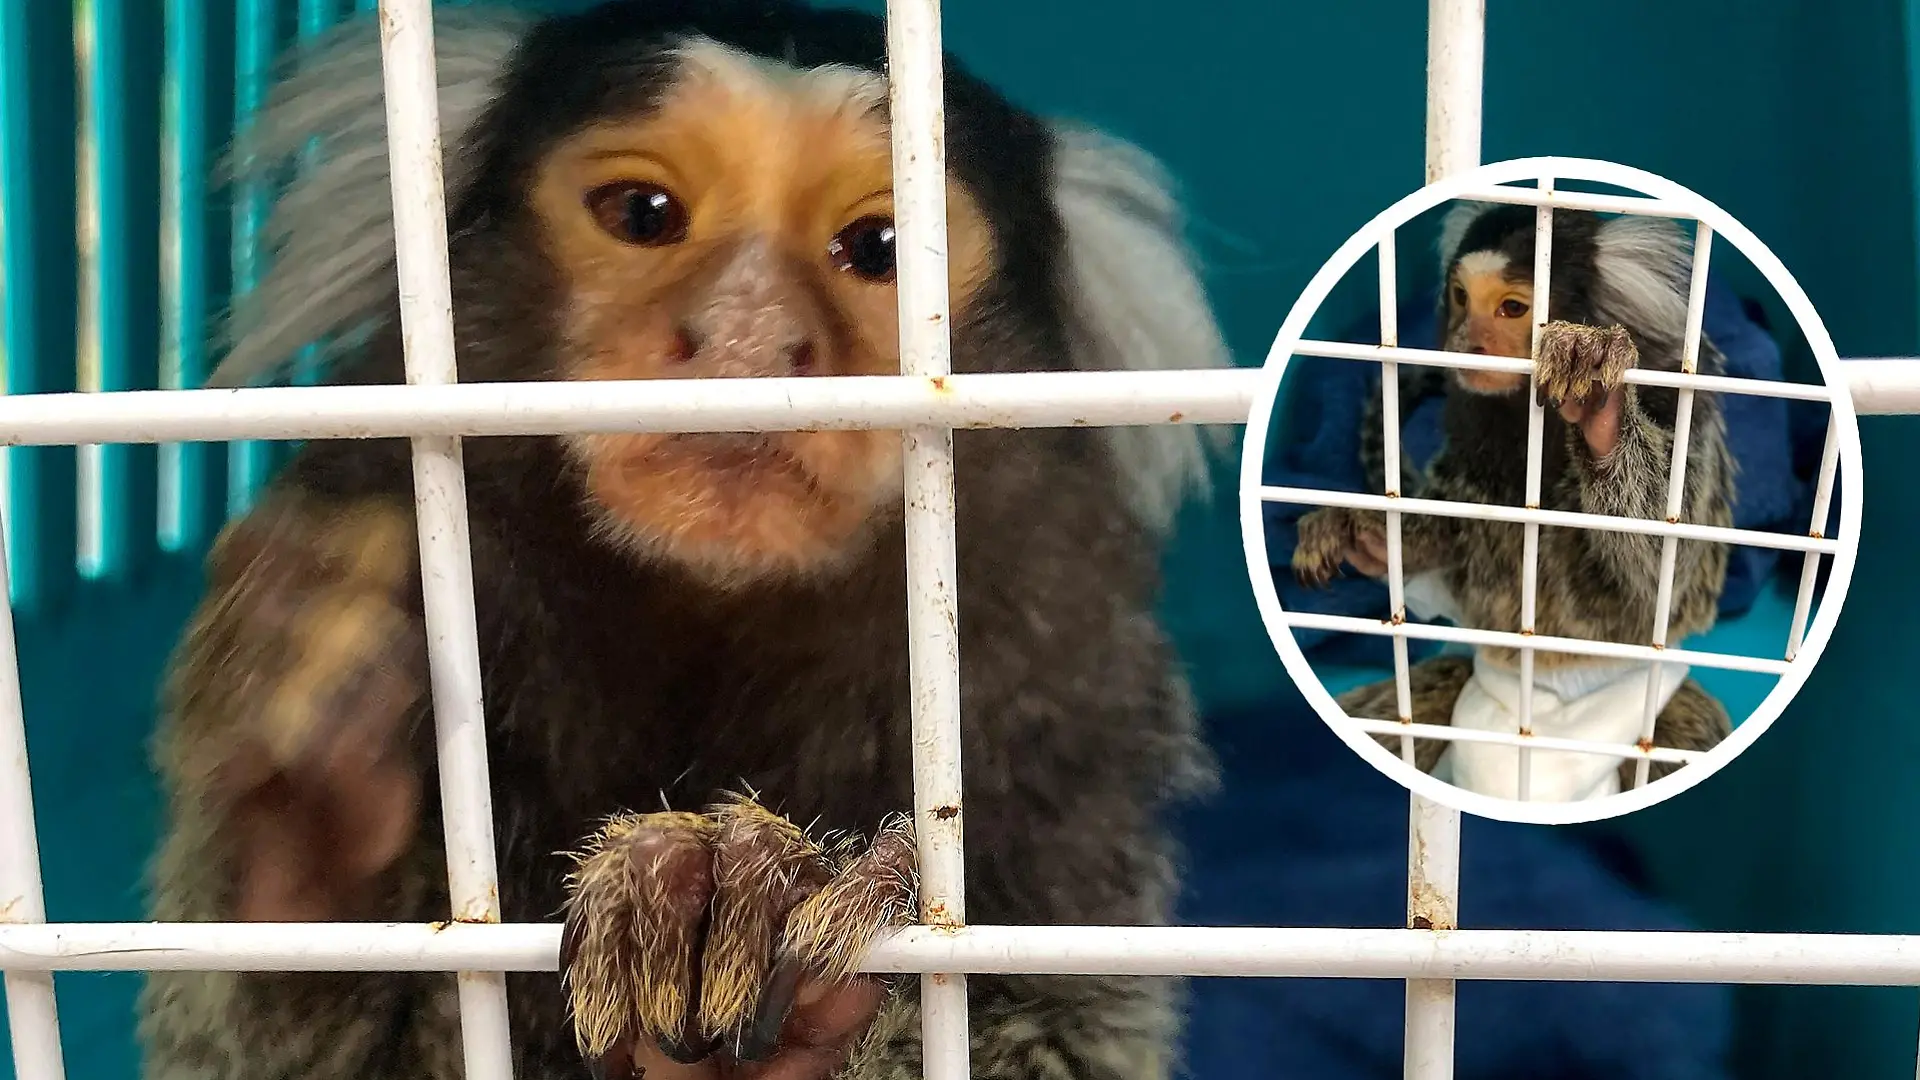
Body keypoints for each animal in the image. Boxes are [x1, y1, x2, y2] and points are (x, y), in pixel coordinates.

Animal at [135, 4, 1233, 1080]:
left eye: (878, 246)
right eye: (642, 215)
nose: (747, 333)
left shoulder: (1061, 718)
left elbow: (1061, 1020)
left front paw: (763, 974)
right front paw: (305, 814)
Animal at [1289, 201, 1736, 801]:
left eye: (1512, 308)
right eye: (1461, 297)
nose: (1466, 341)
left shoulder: (1687, 415)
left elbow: (1669, 563)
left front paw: (1603, 410)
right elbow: (1455, 528)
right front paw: (1361, 533)